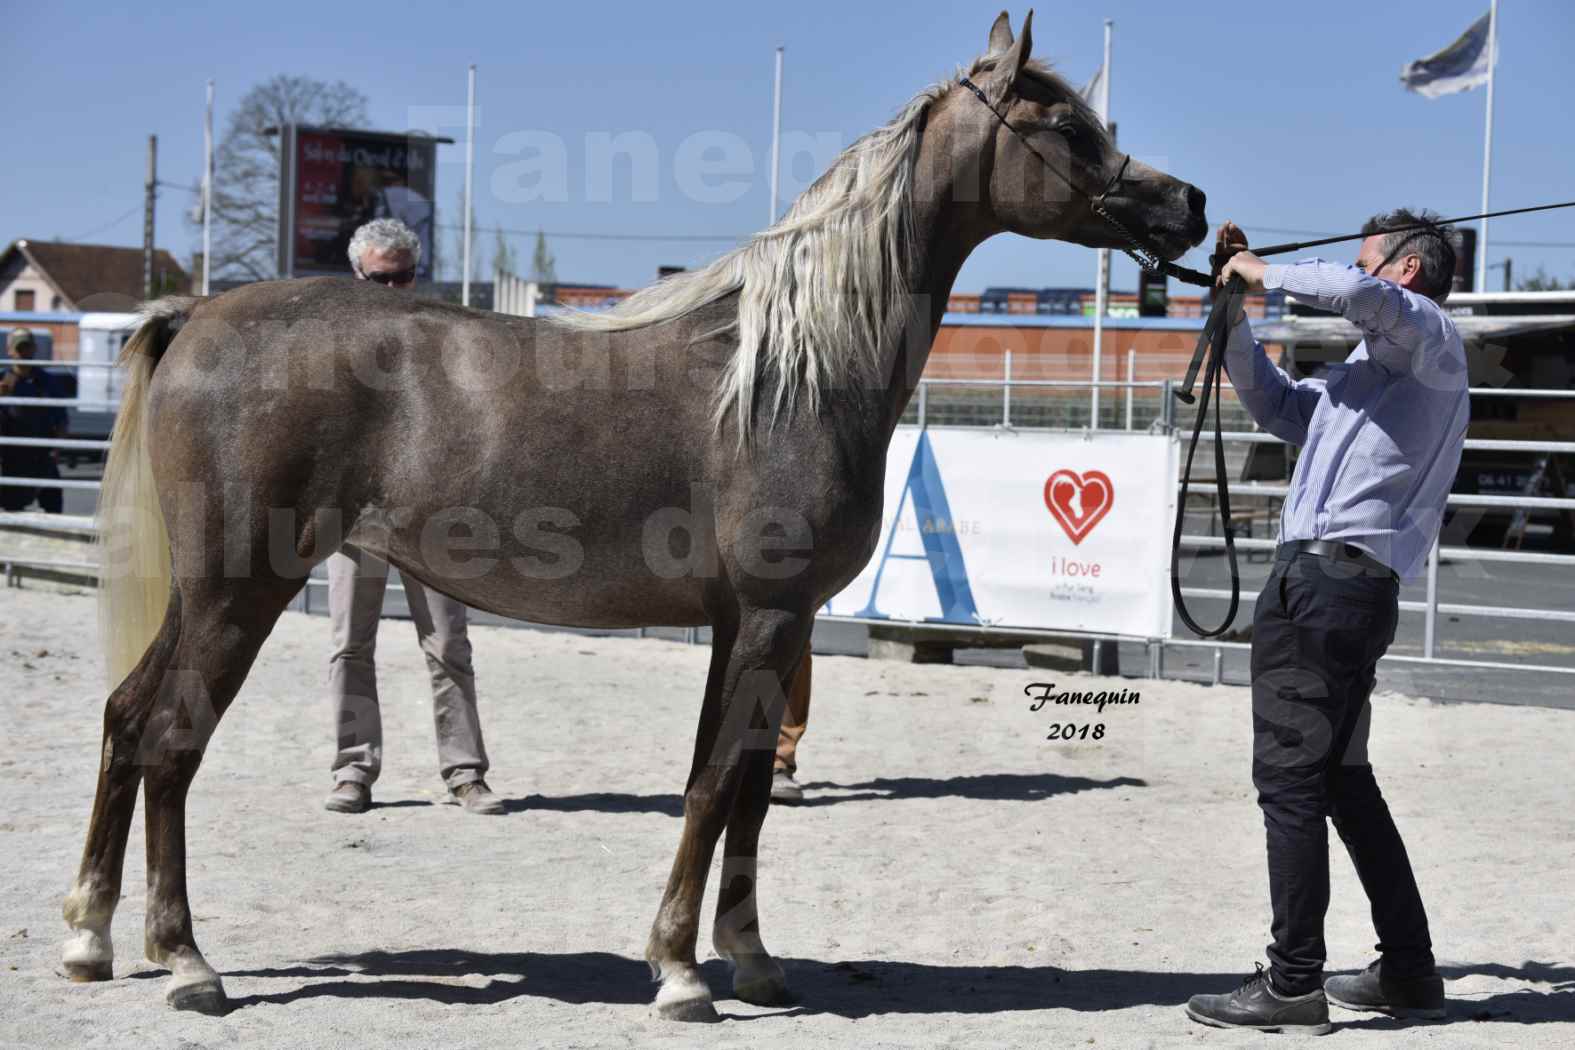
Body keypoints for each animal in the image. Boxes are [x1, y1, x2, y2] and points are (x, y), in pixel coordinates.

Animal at [64, 12, 1203, 1020]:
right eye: (1063, 125)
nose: (1185, 202)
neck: (787, 371)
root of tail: (196, 314)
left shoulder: (753, 625)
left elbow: (741, 788)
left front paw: (751, 961)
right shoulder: (770, 618)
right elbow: (713, 787)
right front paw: (680, 974)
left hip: (206, 595)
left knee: (124, 717)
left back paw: (90, 937)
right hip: (238, 593)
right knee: (171, 740)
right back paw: (186, 962)